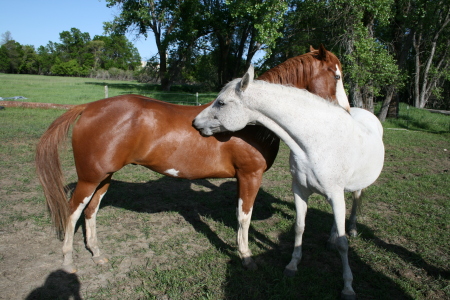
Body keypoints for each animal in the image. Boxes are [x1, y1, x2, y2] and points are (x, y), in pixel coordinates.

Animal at [36, 44, 352, 272]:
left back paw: (97, 254)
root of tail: (88, 107)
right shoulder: (251, 175)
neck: (251, 122)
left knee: (91, 211)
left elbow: (239, 215)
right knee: (73, 211)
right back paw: (68, 261)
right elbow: (245, 216)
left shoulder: (242, 178)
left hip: (103, 178)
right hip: (90, 178)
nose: (347, 112)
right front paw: (246, 256)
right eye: (336, 76)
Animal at [193, 66, 384, 300]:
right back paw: (330, 238)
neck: (315, 142)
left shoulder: (335, 194)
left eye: (221, 103)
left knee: (356, 201)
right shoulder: (300, 190)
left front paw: (348, 287)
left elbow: (343, 243)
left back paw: (353, 230)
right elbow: (299, 227)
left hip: (354, 187)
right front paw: (292, 265)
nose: (195, 123)